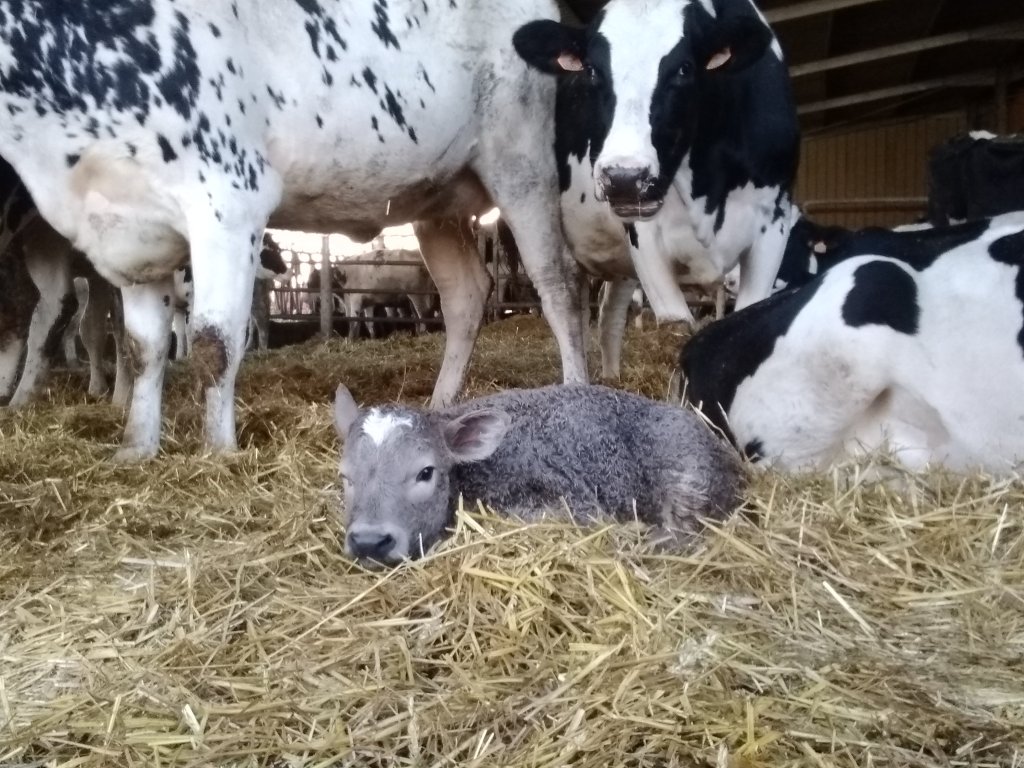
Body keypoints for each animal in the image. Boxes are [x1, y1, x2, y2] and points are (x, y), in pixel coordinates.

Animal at [0, 0, 588, 460]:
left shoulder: (228, 199)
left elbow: (214, 342)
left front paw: (219, 452)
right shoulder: (130, 231)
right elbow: (144, 347)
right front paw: (136, 448)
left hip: (521, 165)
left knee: (558, 286)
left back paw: (577, 391)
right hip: (436, 197)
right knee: (465, 295)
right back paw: (440, 406)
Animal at [513, 0, 800, 344]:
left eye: (685, 68)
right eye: (591, 70)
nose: (623, 178)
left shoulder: (773, 226)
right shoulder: (645, 239)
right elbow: (676, 323)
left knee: (610, 315)